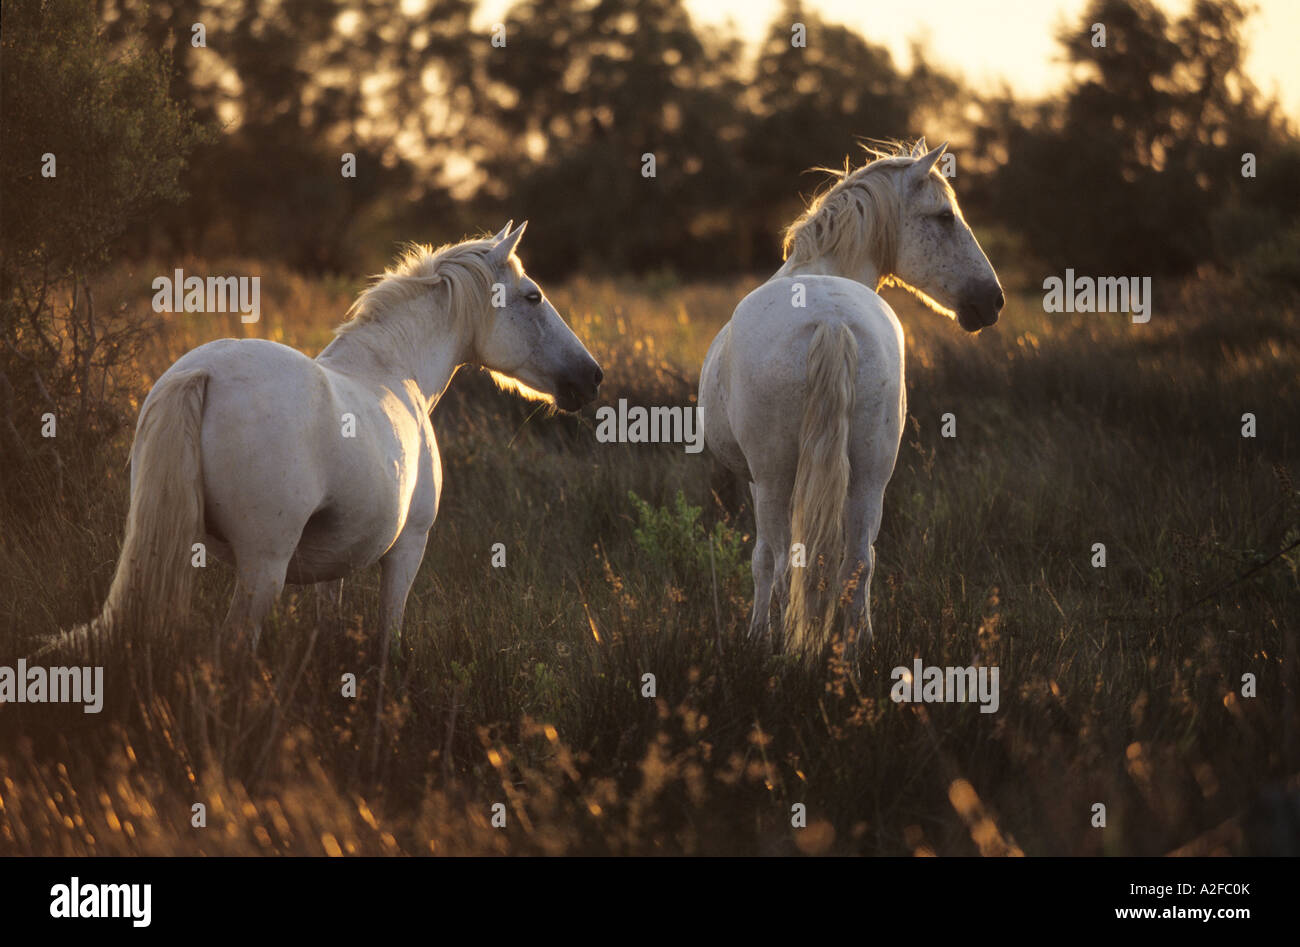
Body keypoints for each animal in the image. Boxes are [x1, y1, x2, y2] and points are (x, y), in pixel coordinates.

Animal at [63, 222, 600, 650]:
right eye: (533, 296)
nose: (590, 377)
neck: (393, 366)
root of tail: (203, 373)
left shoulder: (333, 565)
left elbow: (329, 623)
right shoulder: (408, 548)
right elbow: (389, 638)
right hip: (263, 565)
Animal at [702, 140, 1003, 663]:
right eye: (945, 217)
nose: (993, 300)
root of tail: (831, 319)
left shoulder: (758, 480)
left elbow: (762, 561)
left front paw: (760, 634)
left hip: (776, 476)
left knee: (780, 563)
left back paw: (776, 648)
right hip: (870, 475)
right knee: (859, 561)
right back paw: (855, 650)